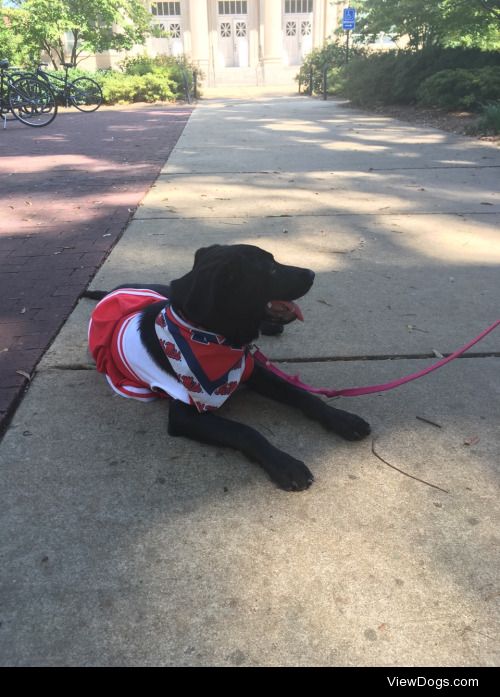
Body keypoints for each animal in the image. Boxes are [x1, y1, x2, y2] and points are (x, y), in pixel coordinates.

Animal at [86, 245, 370, 490]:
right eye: (270, 268)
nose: (312, 274)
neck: (212, 336)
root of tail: (114, 290)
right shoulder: (184, 414)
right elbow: (244, 431)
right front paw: (285, 465)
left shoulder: (254, 371)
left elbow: (302, 395)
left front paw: (343, 419)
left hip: (162, 291)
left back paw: (271, 327)